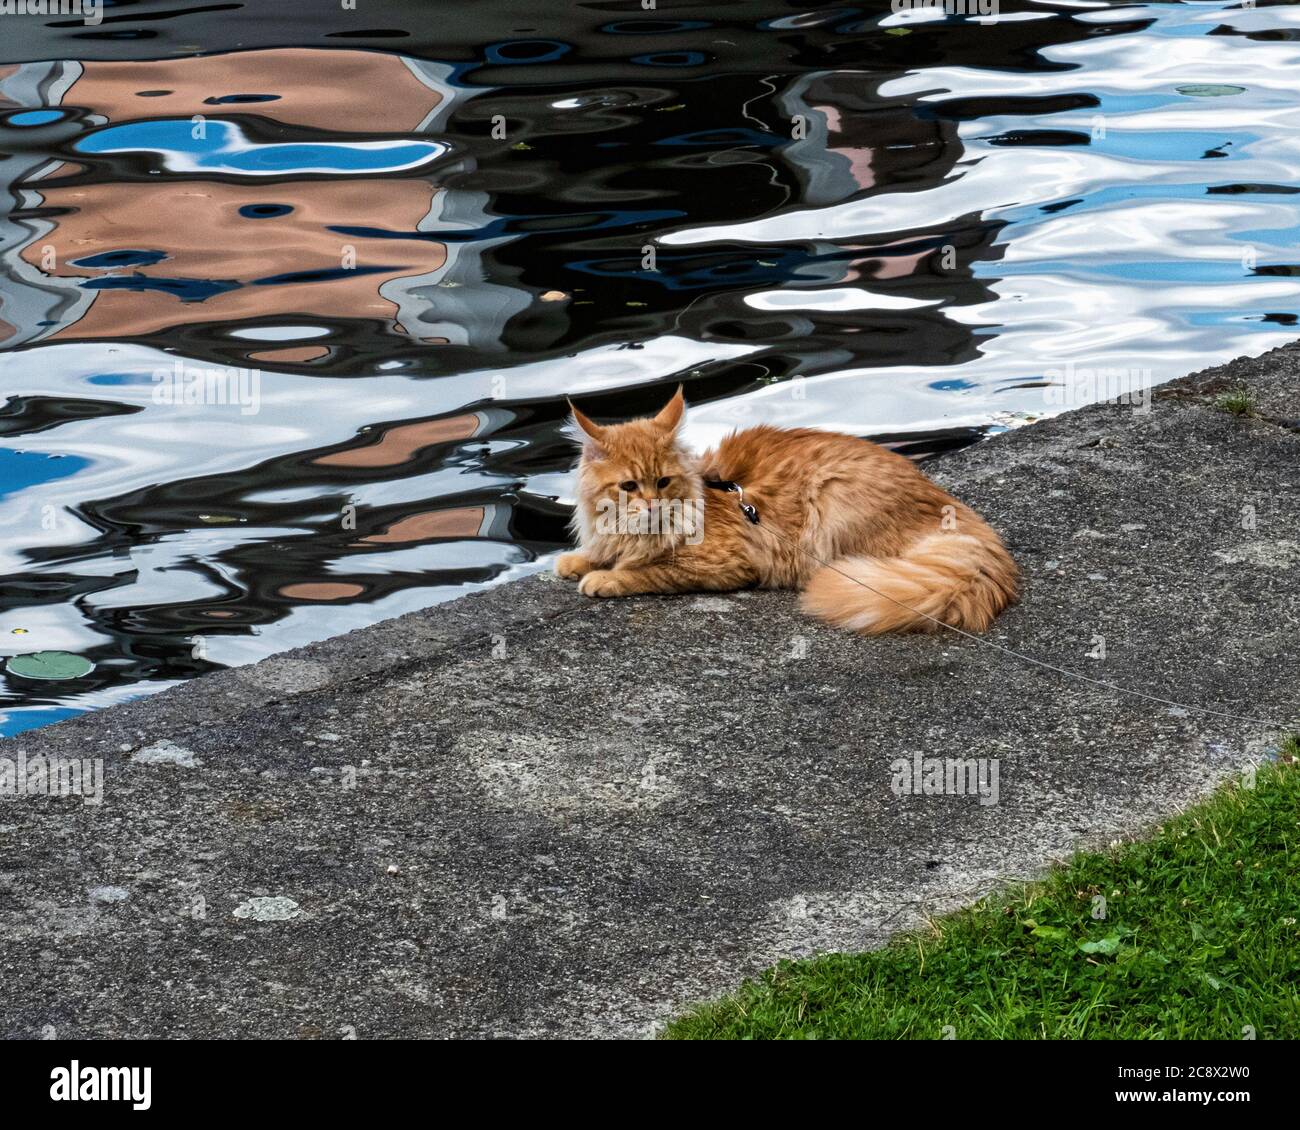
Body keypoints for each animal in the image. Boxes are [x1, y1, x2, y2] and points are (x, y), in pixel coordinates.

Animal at [553, 387, 1019, 634]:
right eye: (629, 487)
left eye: (663, 481)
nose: (652, 504)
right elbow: (600, 551)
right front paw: (577, 561)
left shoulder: (726, 561)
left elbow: (650, 570)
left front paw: (605, 578)